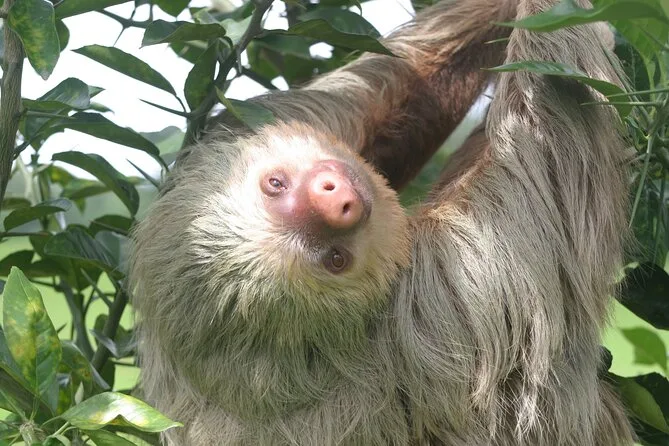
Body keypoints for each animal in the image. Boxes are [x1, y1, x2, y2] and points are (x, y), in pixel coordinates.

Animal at [128, 0, 636, 444]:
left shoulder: (247, 120)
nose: (336, 200)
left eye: (274, 184)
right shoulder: (459, 291)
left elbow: (392, 81)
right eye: (334, 259)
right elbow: (546, 140)